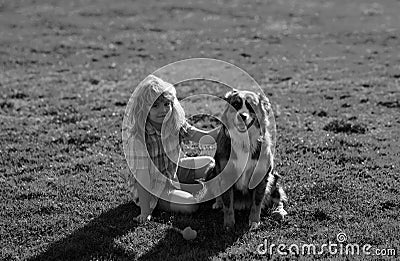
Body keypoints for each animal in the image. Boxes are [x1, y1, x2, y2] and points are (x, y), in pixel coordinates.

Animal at [205, 89, 286, 230]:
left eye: (250, 106)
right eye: (235, 104)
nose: (242, 116)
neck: (244, 140)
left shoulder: (262, 174)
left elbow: (257, 202)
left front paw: (254, 221)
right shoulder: (225, 174)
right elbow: (228, 203)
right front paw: (229, 224)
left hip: (274, 177)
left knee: (278, 199)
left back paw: (279, 212)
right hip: (212, 170)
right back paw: (218, 203)